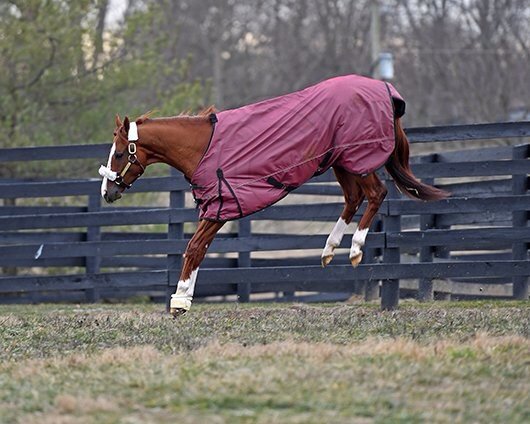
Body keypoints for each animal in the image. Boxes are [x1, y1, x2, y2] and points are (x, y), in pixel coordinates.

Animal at [99, 74, 446, 316]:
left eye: (120, 153)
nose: (107, 192)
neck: (203, 147)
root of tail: (386, 92)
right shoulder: (217, 210)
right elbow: (199, 249)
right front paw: (183, 298)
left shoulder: (220, 207)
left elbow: (193, 248)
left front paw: (180, 302)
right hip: (342, 162)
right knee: (353, 198)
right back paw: (329, 249)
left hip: (357, 159)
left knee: (376, 193)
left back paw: (355, 250)